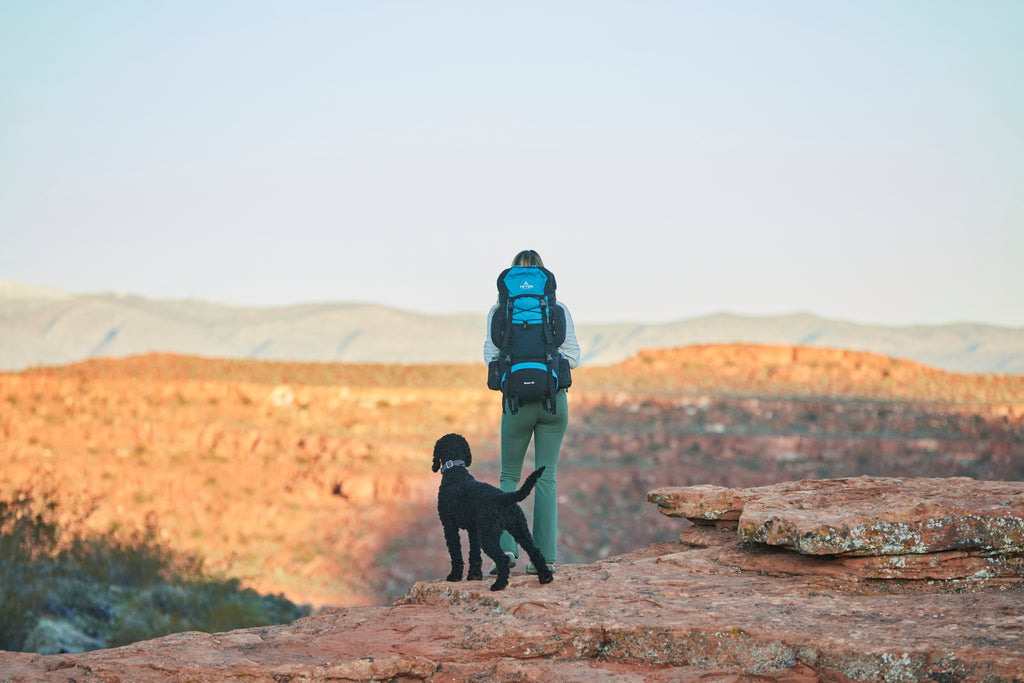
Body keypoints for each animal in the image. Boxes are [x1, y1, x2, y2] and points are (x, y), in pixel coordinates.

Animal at [430, 436, 552, 589]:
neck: (455, 473)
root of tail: (504, 497)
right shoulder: (473, 529)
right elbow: (475, 553)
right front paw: (475, 575)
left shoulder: (449, 525)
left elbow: (455, 551)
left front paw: (455, 576)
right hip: (520, 530)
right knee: (536, 552)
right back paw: (546, 577)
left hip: (489, 536)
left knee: (503, 559)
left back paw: (499, 585)